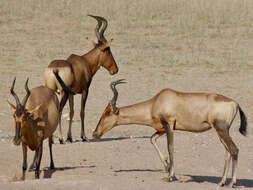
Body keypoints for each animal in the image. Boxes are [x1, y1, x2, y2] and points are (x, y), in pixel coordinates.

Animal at [44, 14, 118, 143]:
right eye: (108, 50)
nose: (115, 70)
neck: (84, 62)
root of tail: (54, 68)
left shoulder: (71, 94)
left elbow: (72, 112)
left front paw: (70, 137)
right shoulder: (85, 91)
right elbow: (81, 112)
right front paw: (83, 137)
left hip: (53, 90)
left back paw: (52, 139)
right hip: (63, 92)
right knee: (59, 111)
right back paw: (60, 139)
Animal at [93, 79, 247, 188]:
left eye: (106, 113)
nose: (95, 133)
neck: (157, 101)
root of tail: (235, 103)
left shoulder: (169, 125)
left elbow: (170, 148)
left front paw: (170, 177)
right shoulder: (162, 129)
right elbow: (152, 139)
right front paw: (167, 167)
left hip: (221, 129)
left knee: (234, 150)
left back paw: (231, 183)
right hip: (221, 131)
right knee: (227, 152)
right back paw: (221, 182)